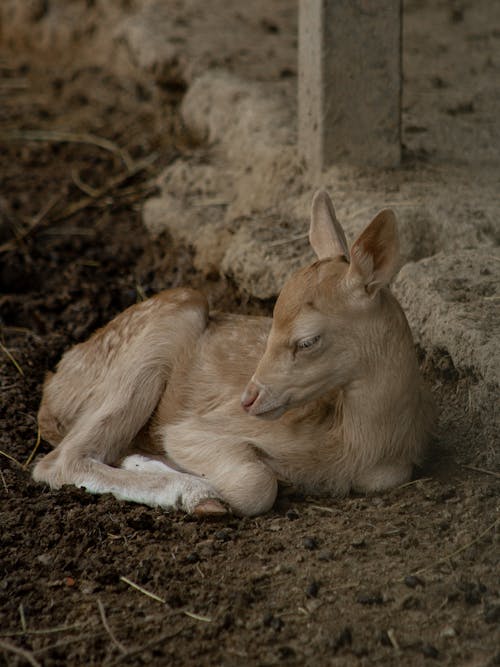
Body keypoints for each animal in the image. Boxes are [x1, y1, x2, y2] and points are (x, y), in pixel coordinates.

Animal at [33, 190, 436, 520]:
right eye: (271, 321)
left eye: (307, 341)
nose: (248, 398)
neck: (356, 444)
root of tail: (52, 390)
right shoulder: (197, 428)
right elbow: (255, 482)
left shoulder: (390, 469)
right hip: (160, 330)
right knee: (59, 461)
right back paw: (195, 492)